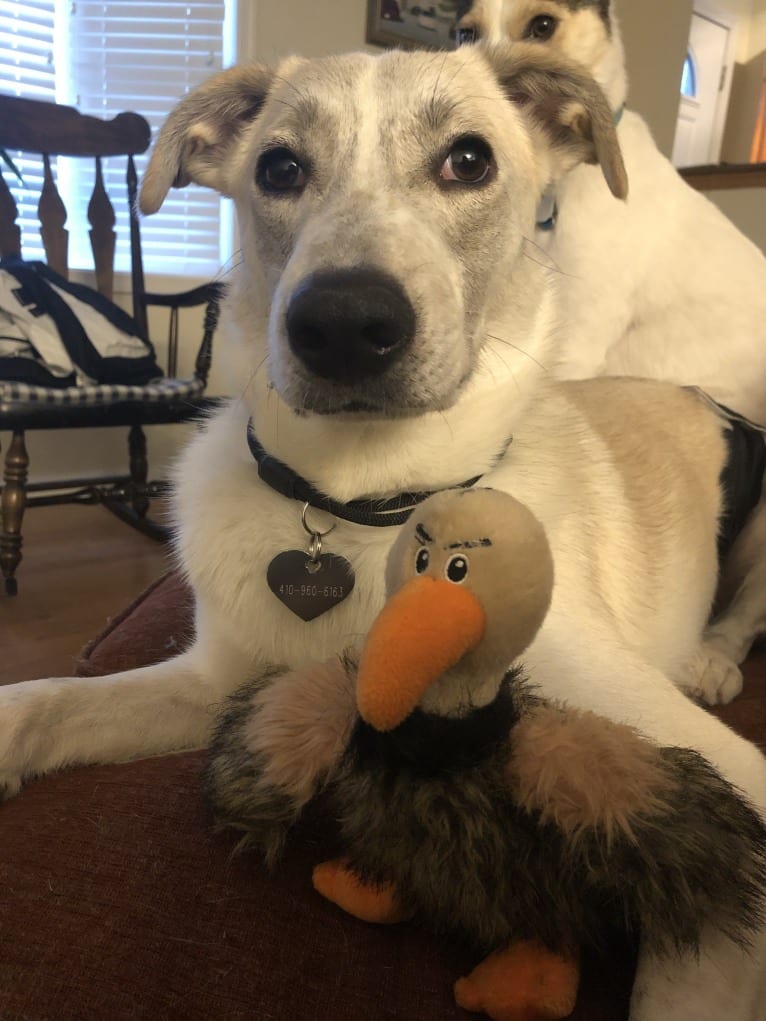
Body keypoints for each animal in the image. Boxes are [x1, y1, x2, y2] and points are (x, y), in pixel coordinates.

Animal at [1, 43, 766, 1021]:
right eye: (278, 168)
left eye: (469, 161)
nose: (341, 323)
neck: (363, 504)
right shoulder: (217, 681)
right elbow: (48, 700)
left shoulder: (724, 767)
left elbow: (703, 953)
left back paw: (712, 656)